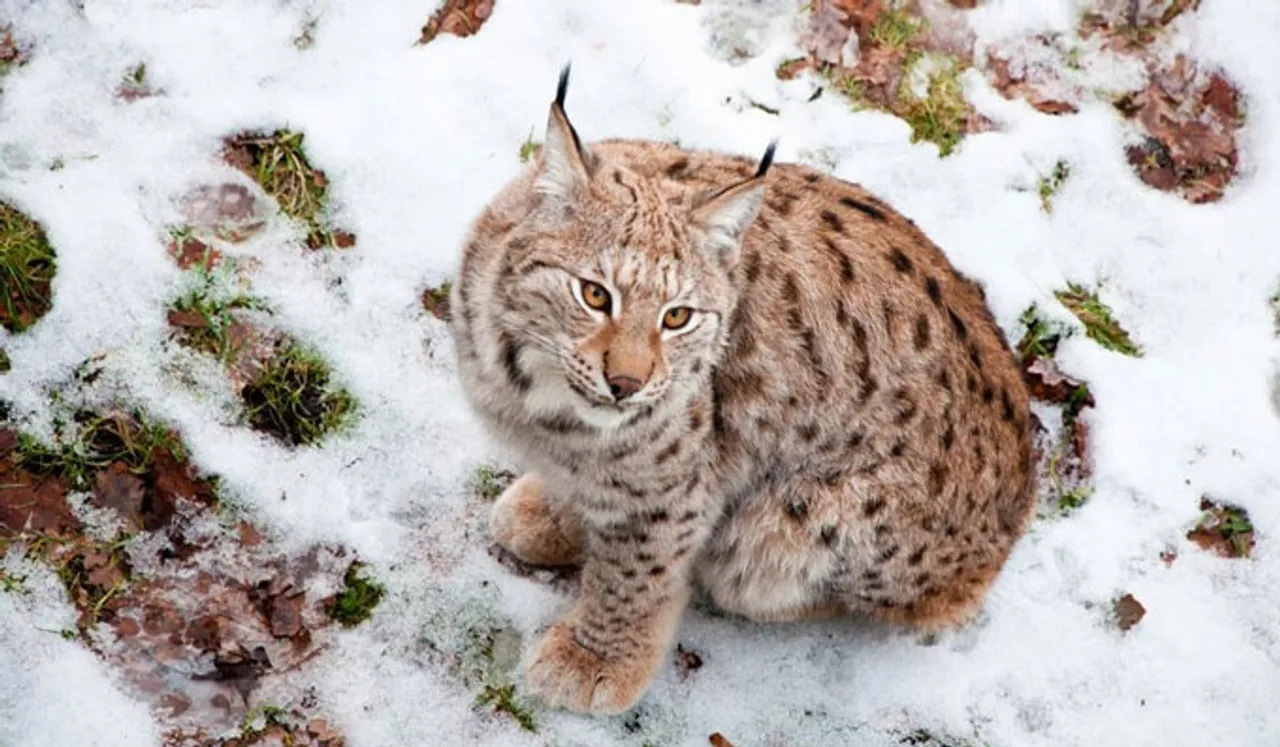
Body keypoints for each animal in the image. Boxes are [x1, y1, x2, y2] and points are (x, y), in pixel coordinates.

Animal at [445, 67, 1034, 716]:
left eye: (677, 317)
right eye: (595, 295)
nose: (627, 384)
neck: (534, 381)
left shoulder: (673, 484)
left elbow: (637, 569)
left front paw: (597, 660)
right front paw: (556, 515)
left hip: (813, 517)